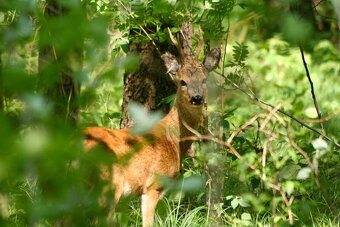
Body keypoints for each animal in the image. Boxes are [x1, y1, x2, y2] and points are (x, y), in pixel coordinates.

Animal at [83, 22, 219, 227]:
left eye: (204, 79)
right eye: (183, 82)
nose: (197, 98)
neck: (173, 139)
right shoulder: (153, 185)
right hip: (108, 188)